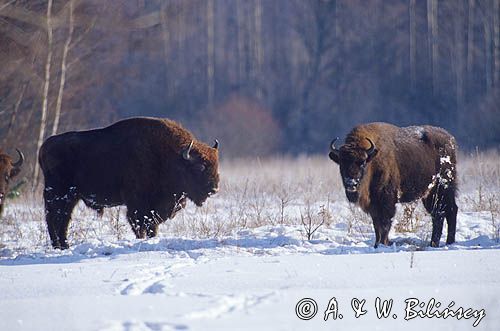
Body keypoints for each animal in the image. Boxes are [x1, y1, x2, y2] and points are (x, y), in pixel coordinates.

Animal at [39, 116, 219, 249]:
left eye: (216, 165)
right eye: (200, 167)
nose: (214, 189)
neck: (168, 156)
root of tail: (44, 147)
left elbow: (152, 226)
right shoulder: (137, 205)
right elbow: (140, 224)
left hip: (71, 197)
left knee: (62, 219)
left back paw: (64, 246)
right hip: (59, 195)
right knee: (54, 218)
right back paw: (59, 246)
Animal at [330, 123, 458, 248]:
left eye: (362, 162)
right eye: (341, 163)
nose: (351, 183)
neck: (373, 160)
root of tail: (450, 140)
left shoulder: (386, 201)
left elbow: (385, 224)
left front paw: (383, 244)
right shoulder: (374, 206)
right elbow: (377, 225)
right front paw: (377, 244)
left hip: (444, 188)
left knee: (449, 211)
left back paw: (448, 242)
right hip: (430, 194)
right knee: (438, 214)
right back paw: (435, 244)